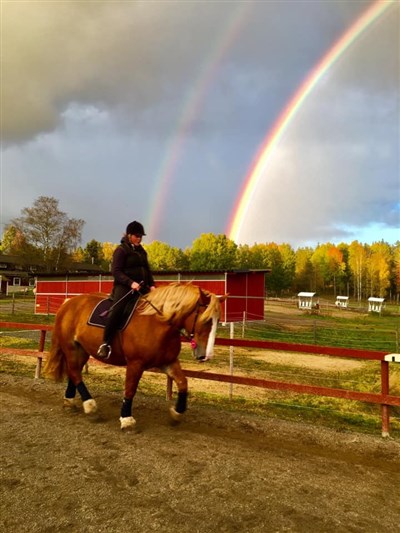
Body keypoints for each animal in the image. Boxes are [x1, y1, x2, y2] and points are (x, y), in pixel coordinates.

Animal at [45, 282, 227, 428]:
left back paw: (70, 401)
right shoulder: (135, 363)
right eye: (206, 320)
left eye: (218, 321)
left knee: (74, 373)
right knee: (75, 373)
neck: (158, 323)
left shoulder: (168, 361)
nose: (206, 355)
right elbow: (130, 388)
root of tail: (69, 303)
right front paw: (126, 419)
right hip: (71, 348)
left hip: (82, 351)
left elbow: (183, 383)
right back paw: (90, 406)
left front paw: (177, 413)